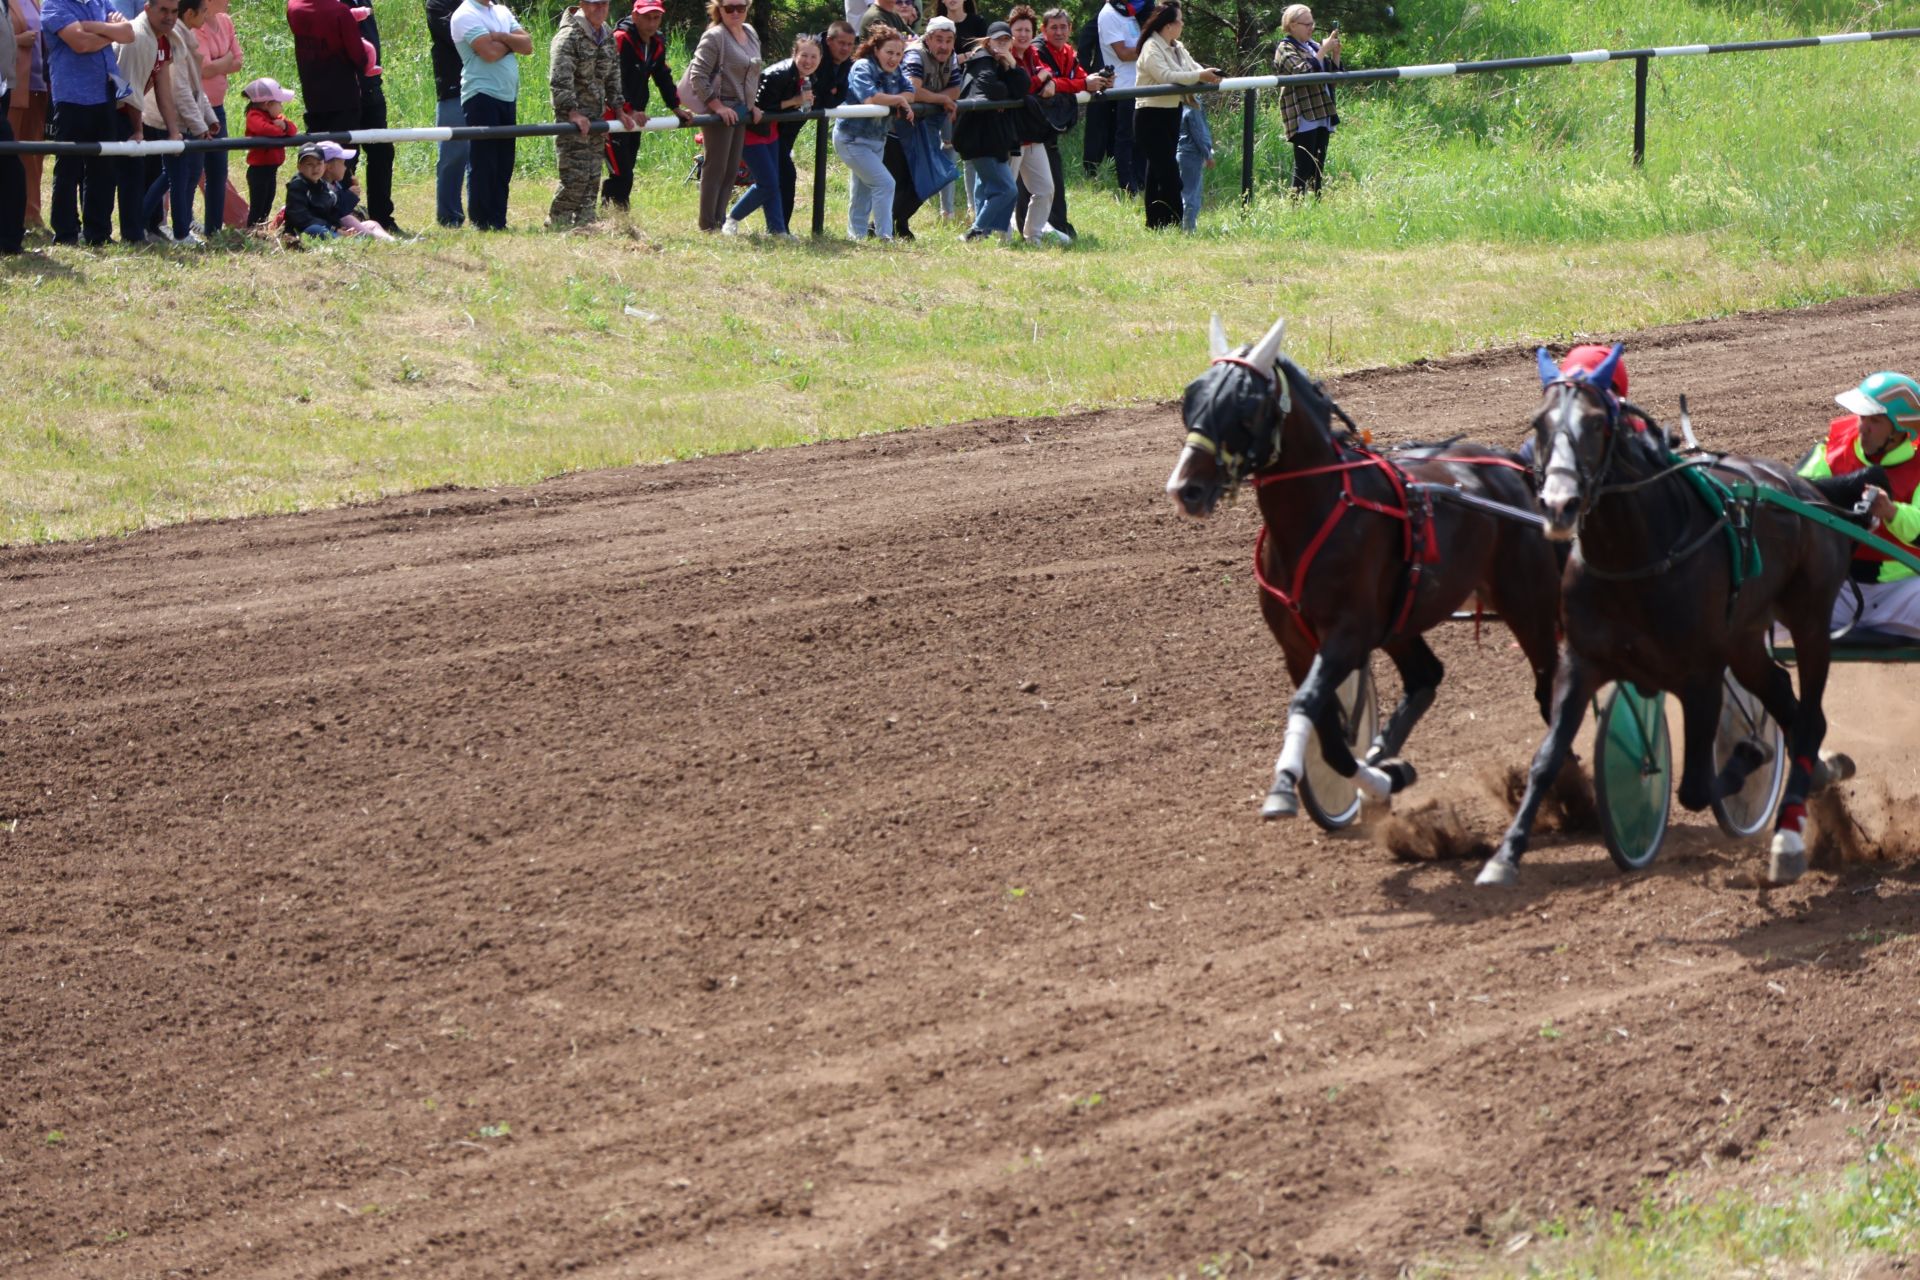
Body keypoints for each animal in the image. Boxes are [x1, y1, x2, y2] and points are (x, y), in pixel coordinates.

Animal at [1159, 320, 1566, 821]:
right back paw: (1383, 755)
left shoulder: (1347, 634)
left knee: (1548, 689)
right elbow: (1331, 736)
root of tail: (1510, 466)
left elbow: (1307, 704)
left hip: (1528, 606)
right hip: (1401, 620)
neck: (1319, 512)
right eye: (1190, 398)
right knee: (1426, 677)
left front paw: (1284, 786)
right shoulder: (1298, 646)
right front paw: (1382, 776)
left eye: (1246, 406)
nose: (1186, 489)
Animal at [1482, 351, 1873, 890]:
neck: (1634, 556)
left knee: (1809, 717)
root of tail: (1808, 489)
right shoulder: (1580, 663)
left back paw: (1788, 837)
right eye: (1538, 423)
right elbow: (1546, 759)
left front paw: (1749, 756)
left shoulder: (1700, 676)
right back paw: (1820, 772)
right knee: (1783, 697)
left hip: (1810, 618)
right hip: (1745, 637)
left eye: (1597, 422)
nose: (1559, 504)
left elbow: (1695, 786)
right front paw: (1506, 854)